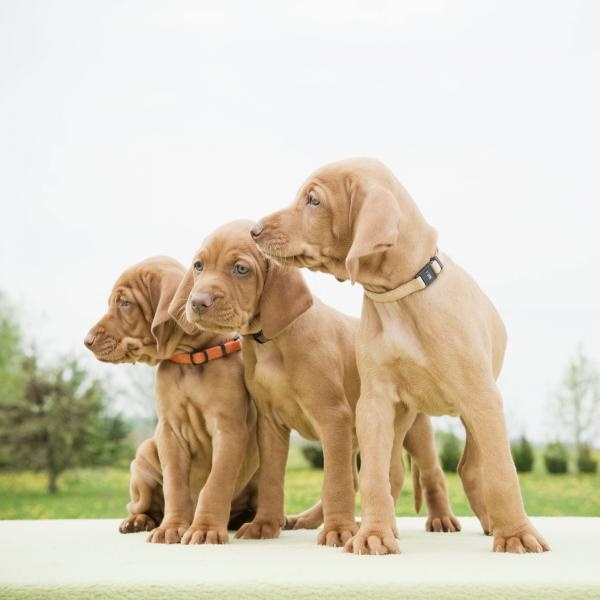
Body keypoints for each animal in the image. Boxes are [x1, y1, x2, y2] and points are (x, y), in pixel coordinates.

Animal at [84, 256, 258, 544]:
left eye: (125, 303)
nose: (86, 341)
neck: (191, 358)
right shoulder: (169, 432)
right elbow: (175, 485)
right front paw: (171, 527)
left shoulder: (229, 430)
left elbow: (216, 482)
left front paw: (205, 528)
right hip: (144, 455)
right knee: (145, 505)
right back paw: (138, 521)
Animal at [166, 221, 458, 548]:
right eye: (199, 266)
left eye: (241, 269)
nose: (197, 302)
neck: (272, 342)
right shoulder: (270, 424)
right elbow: (273, 479)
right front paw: (265, 524)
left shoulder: (333, 418)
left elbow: (335, 482)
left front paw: (339, 530)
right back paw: (310, 519)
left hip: (412, 429)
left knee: (420, 472)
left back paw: (429, 520)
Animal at [251, 157, 552, 556]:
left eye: (313, 200)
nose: (253, 230)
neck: (400, 296)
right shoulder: (375, 402)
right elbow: (373, 476)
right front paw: (374, 534)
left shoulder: (482, 397)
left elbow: (503, 472)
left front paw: (517, 534)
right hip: (404, 416)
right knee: (390, 471)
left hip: (468, 409)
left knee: (469, 467)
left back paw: (488, 521)